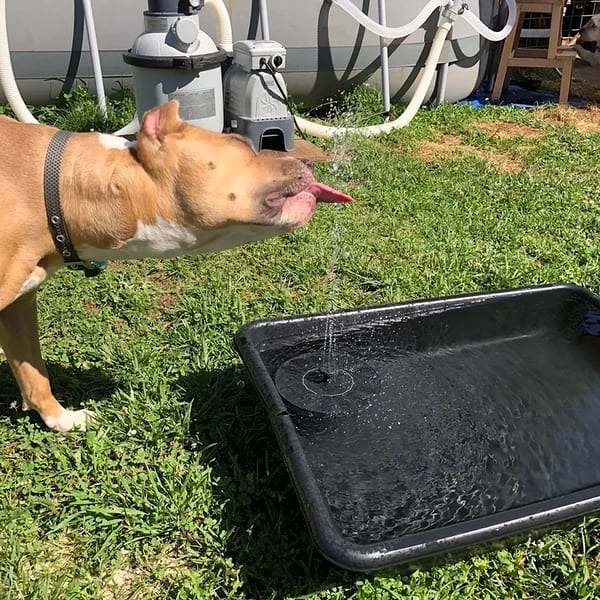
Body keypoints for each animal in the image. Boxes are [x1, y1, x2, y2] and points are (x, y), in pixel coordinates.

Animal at [0, 102, 352, 432]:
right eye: (241, 143)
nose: (309, 162)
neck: (60, 190)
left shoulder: (19, 305)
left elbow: (33, 372)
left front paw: (61, 419)